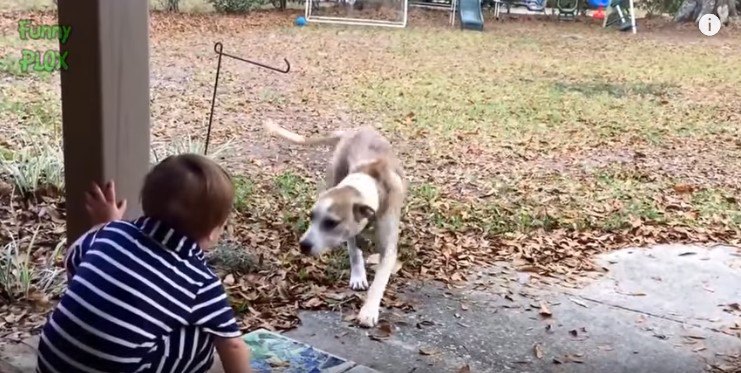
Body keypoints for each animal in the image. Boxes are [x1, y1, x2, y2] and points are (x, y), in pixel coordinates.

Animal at [264, 120, 408, 326]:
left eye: (331, 223)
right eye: (311, 216)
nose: (303, 245)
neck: (371, 183)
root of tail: (352, 131)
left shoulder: (388, 247)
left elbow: (379, 280)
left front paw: (369, 310)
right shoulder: (351, 231)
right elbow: (354, 252)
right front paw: (358, 276)